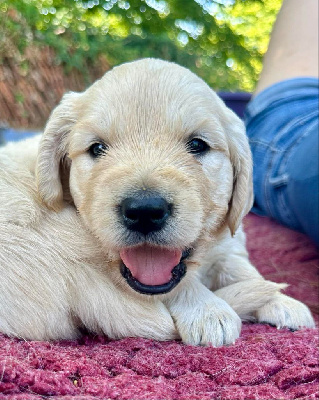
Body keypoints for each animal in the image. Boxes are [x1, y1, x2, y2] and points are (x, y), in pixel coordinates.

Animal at [0, 59, 316, 346]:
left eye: (198, 145)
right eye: (97, 148)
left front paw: (283, 301)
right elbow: (184, 285)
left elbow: (240, 268)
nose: (144, 212)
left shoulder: (228, 240)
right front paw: (207, 311)